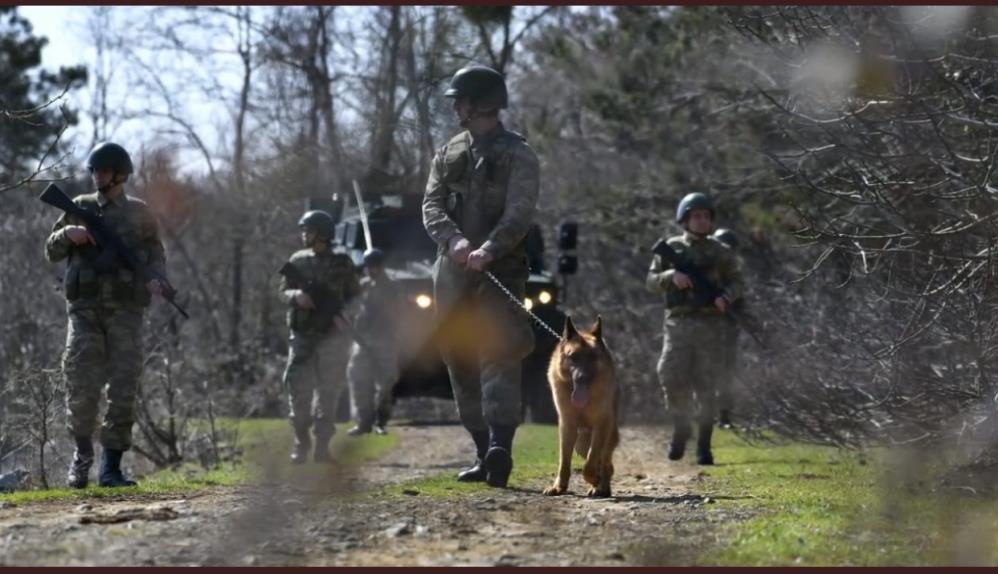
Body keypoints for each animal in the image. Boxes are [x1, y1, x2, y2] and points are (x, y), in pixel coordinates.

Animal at [548, 316, 616, 500]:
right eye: (573, 357)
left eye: (592, 357)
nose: (581, 377)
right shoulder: (567, 426)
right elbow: (564, 461)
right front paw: (559, 487)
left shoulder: (601, 425)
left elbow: (591, 463)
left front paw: (594, 479)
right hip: (581, 443)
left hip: (605, 436)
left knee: (606, 464)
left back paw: (601, 487)